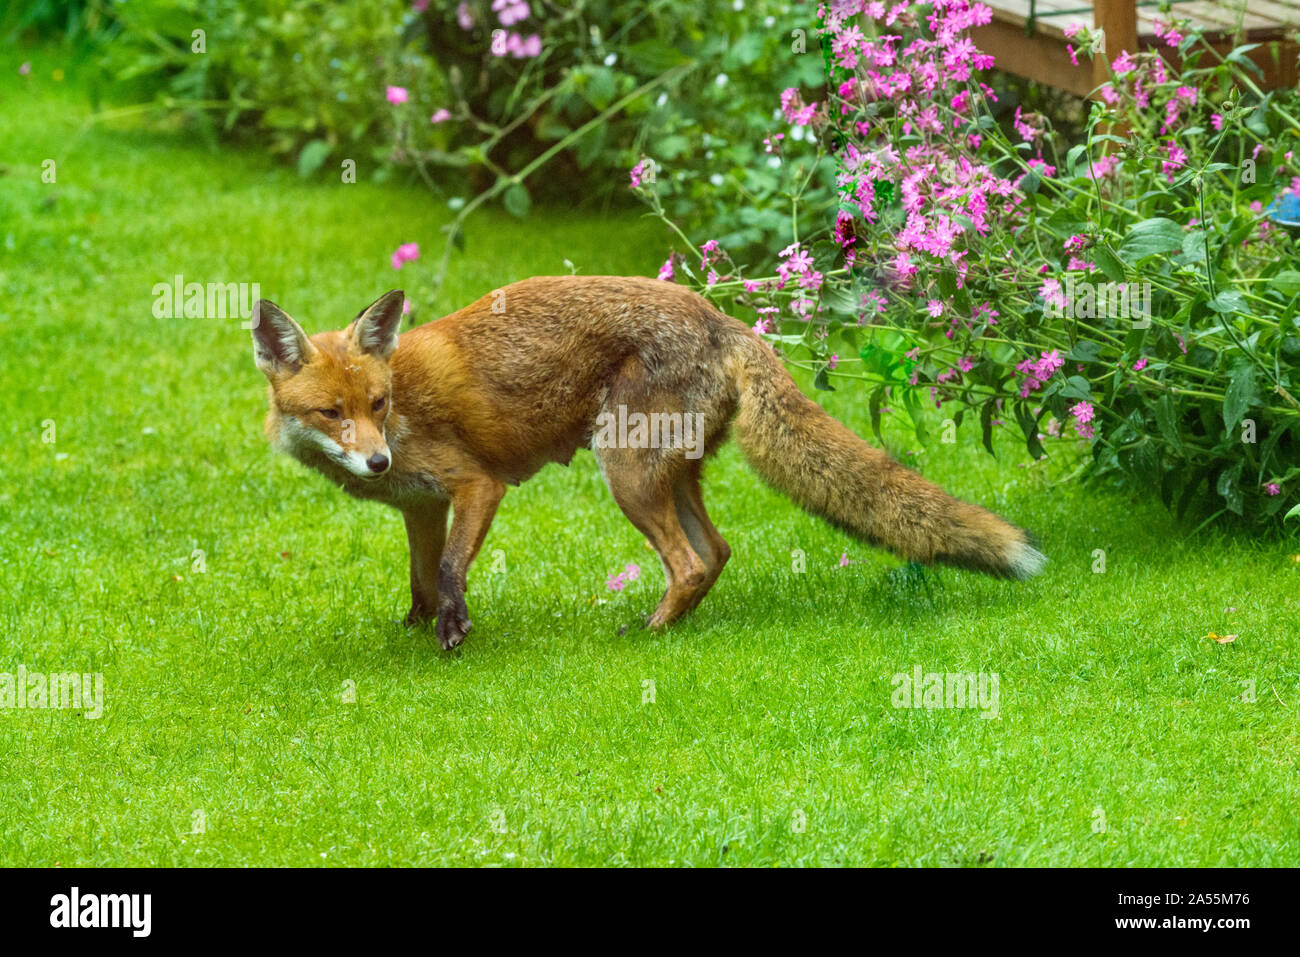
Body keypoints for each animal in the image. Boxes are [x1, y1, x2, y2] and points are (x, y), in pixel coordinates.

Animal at [253, 276, 1045, 650]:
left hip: (626, 473)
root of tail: (726, 322)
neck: (407, 409)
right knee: (717, 552)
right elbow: (421, 576)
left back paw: (649, 636)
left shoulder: (478, 484)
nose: (377, 460)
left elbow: (449, 568)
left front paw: (452, 632)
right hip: (668, 473)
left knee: (690, 562)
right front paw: (418, 629)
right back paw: (676, 624)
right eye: (332, 412)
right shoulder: (421, 503)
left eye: (378, 402)